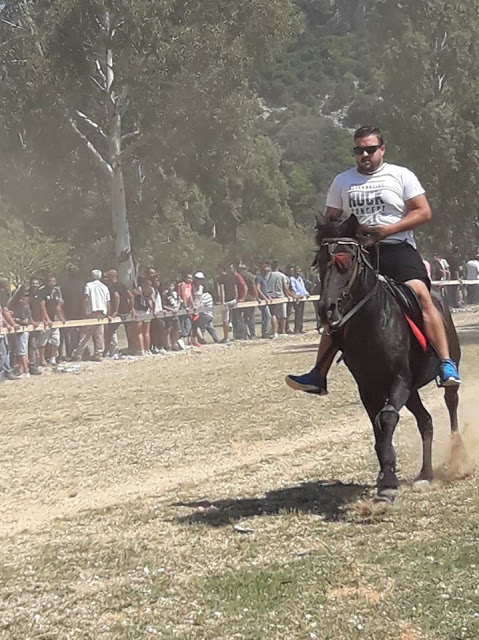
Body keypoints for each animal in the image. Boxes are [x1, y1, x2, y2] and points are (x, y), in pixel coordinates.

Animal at [316, 218, 462, 502]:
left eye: (346, 260)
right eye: (318, 261)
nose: (326, 309)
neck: (373, 323)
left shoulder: (399, 380)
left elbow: (387, 419)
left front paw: (389, 481)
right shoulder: (368, 387)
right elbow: (378, 427)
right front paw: (386, 475)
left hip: (438, 377)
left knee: (451, 404)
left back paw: (455, 454)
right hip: (412, 391)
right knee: (426, 421)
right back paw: (425, 474)